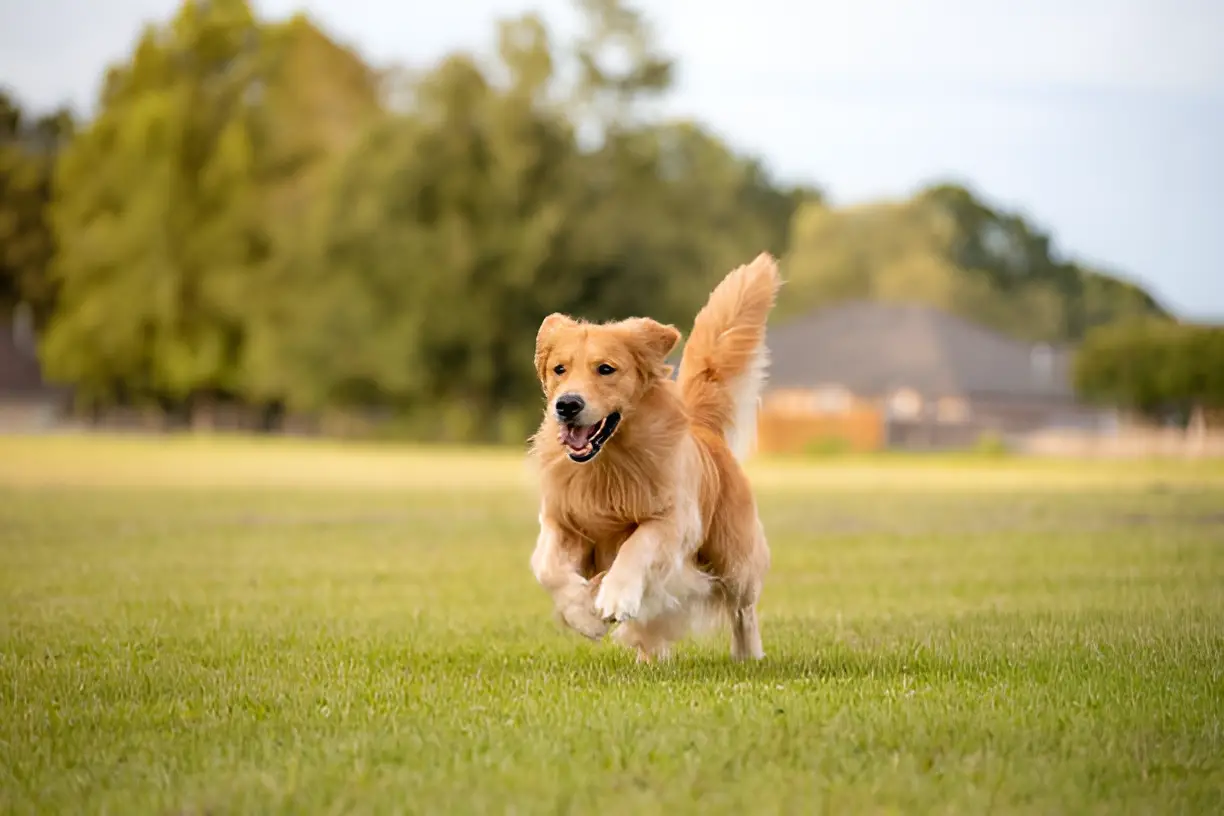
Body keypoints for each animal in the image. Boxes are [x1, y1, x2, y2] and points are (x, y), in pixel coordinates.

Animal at [528, 252, 778, 660]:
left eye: (606, 369)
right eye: (559, 369)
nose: (566, 405)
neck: (608, 463)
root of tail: (705, 430)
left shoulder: (674, 519)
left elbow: (637, 544)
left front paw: (615, 595)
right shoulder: (561, 519)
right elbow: (547, 568)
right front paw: (584, 614)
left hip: (734, 557)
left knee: (744, 608)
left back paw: (748, 656)